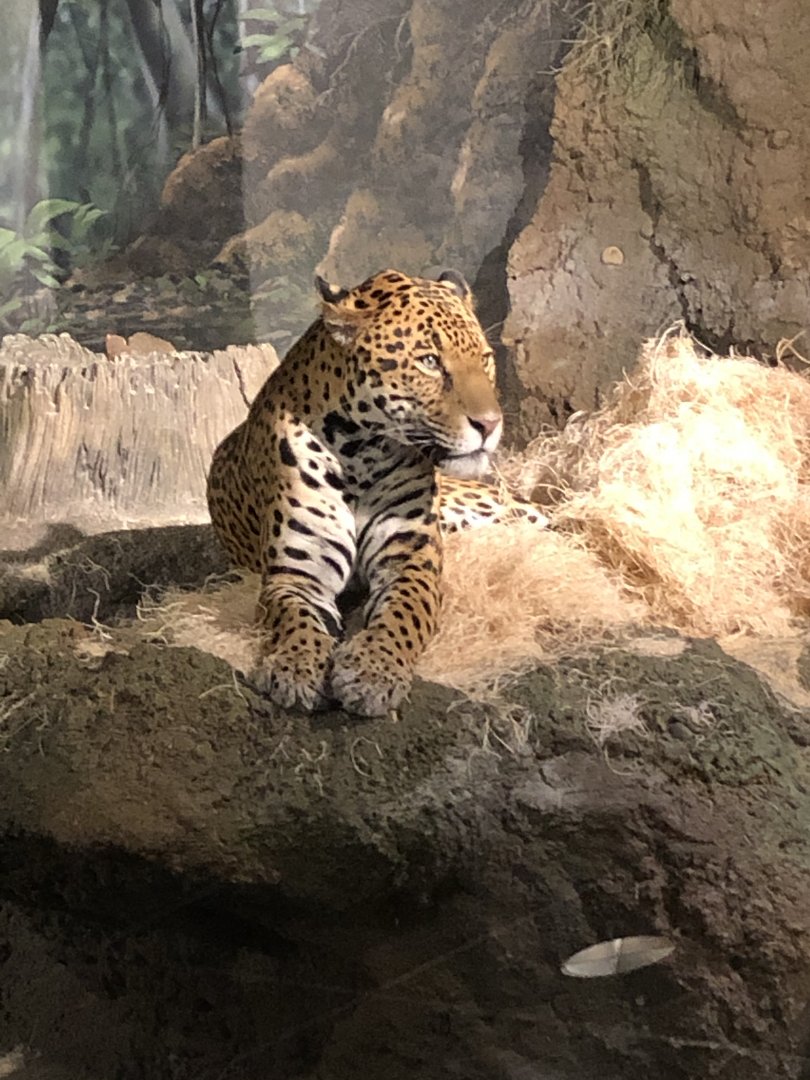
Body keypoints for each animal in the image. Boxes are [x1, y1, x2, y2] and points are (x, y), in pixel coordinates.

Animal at [207, 268, 545, 717]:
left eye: (485, 358)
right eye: (430, 362)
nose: (490, 424)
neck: (360, 456)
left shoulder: (411, 561)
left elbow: (403, 614)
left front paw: (372, 673)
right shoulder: (295, 574)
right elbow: (293, 618)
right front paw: (294, 667)